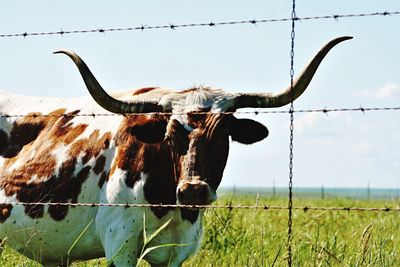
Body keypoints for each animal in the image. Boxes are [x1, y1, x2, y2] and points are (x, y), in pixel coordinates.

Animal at [0, 36, 350, 266]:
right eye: (170, 135)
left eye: (223, 135)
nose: (193, 190)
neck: (168, 202)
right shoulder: (120, 244)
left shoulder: (177, 251)